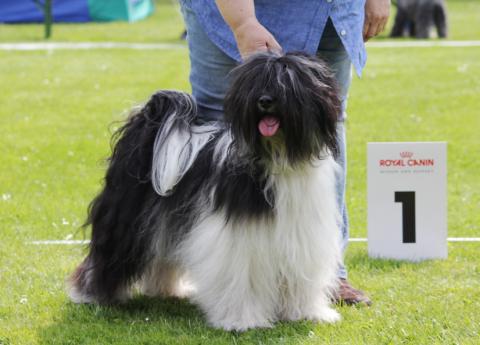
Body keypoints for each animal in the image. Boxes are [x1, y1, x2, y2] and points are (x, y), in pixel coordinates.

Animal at [69, 51, 344, 330]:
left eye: (287, 81)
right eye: (255, 83)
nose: (264, 101)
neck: (278, 157)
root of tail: (152, 119)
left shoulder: (302, 233)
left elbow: (301, 274)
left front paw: (306, 313)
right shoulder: (237, 241)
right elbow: (241, 278)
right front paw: (241, 320)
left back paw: (166, 289)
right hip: (125, 220)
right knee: (109, 255)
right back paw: (94, 294)